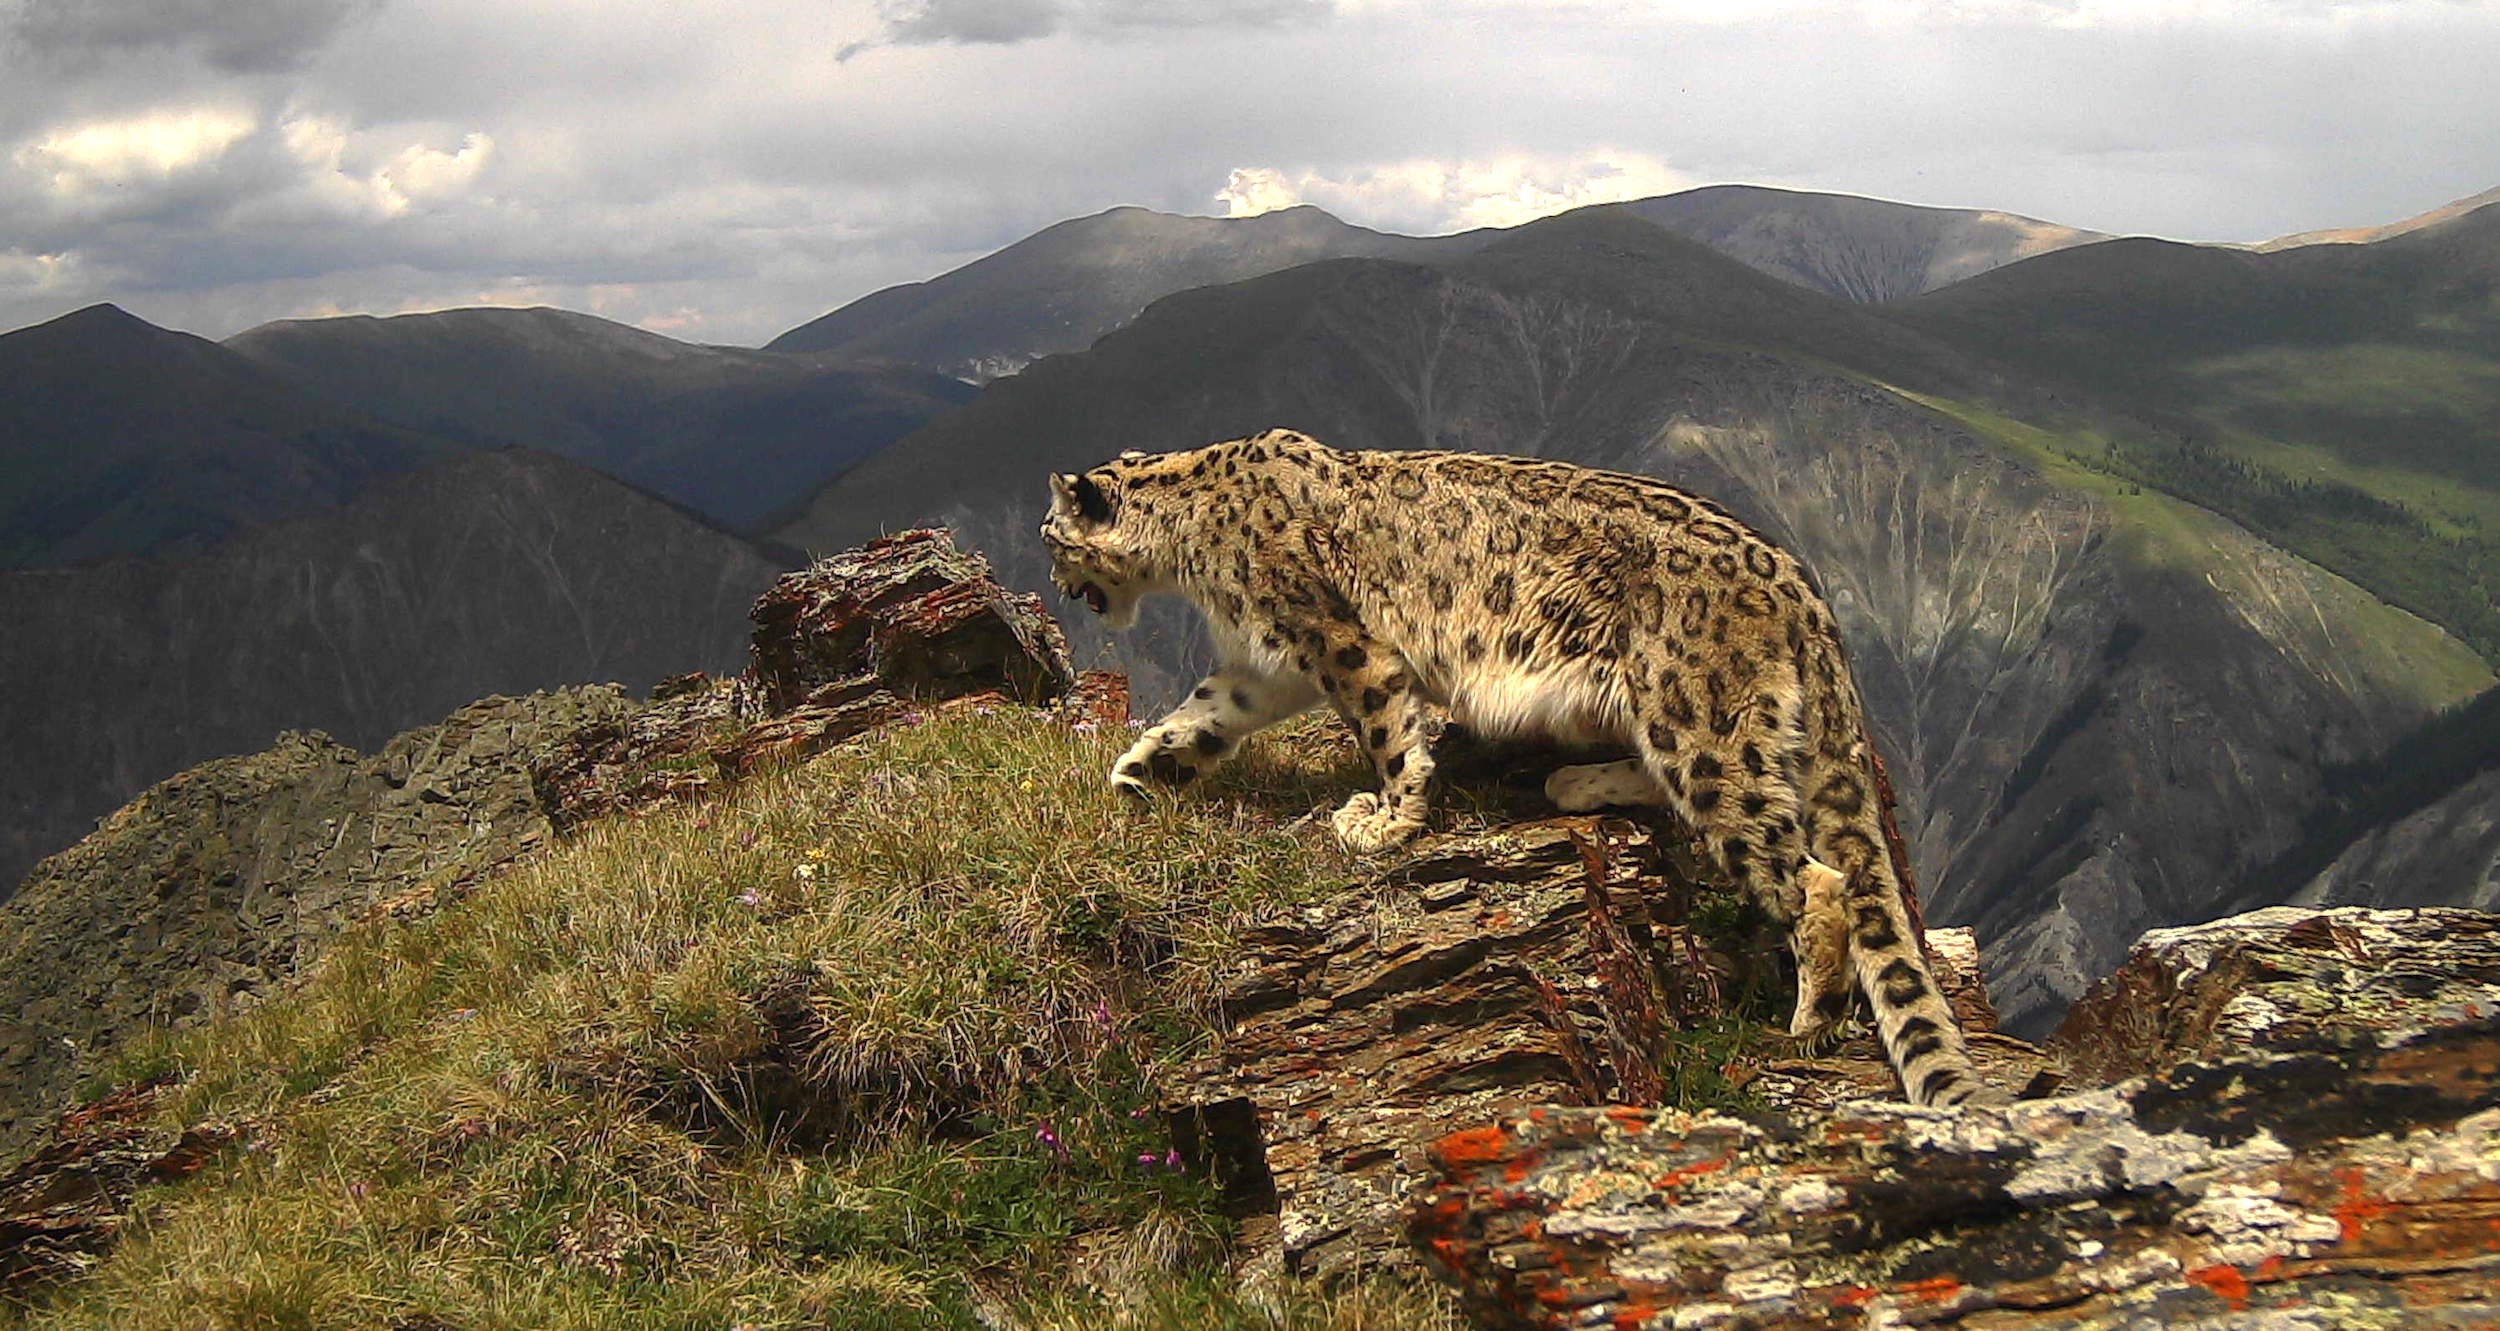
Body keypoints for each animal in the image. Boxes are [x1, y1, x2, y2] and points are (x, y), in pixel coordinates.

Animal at [1040, 430, 1990, 1105]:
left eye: (1052, 538)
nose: (1052, 585)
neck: (1194, 541)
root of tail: (1803, 587)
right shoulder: (1262, 666)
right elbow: (1201, 717)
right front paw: (1138, 773)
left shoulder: (1340, 642)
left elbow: (1388, 730)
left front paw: (1385, 821)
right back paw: (1572, 783)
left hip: (1700, 728)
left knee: (1812, 875)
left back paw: (1809, 1017)